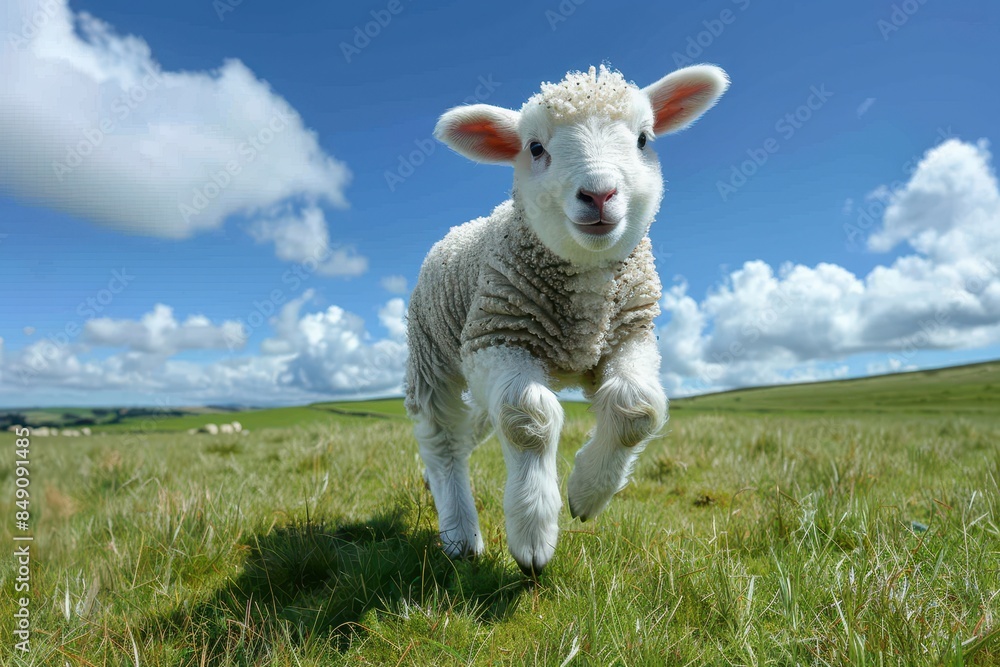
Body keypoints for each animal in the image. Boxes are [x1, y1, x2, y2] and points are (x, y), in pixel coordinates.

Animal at [405, 64, 729, 575]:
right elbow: (528, 418)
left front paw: (587, 492)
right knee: (442, 440)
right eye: (536, 148)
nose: (599, 194)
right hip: (432, 353)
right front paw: (533, 535)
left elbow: (637, 406)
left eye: (643, 138)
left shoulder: (629, 334)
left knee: (473, 424)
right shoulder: (497, 335)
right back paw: (459, 534)